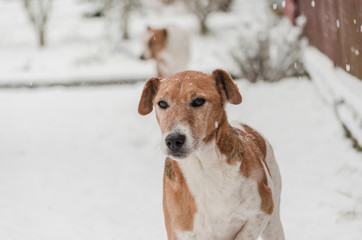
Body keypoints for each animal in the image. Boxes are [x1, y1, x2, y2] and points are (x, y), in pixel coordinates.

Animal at [137, 68, 284, 239]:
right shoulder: (179, 232)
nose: (173, 140)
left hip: (273, 224)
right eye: (162, 103)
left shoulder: (262, 210)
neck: (202, 168)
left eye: (198, 101)